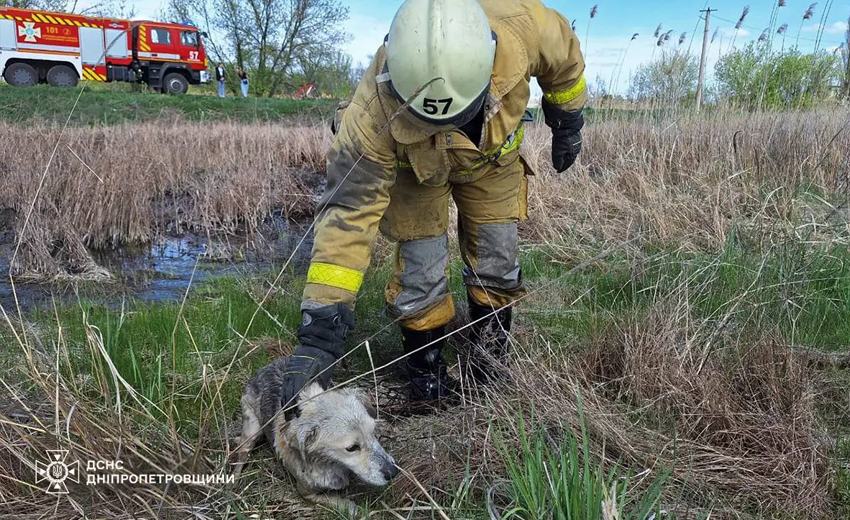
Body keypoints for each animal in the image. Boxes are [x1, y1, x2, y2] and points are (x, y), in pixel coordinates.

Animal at [232, 358, 398, 512]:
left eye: (373, 432)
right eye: (352, 448)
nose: (393, 472)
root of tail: (265, 367)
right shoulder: (306, 492)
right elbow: (335, 501)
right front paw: (351, 507)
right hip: (252, 430)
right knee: (241, 454)